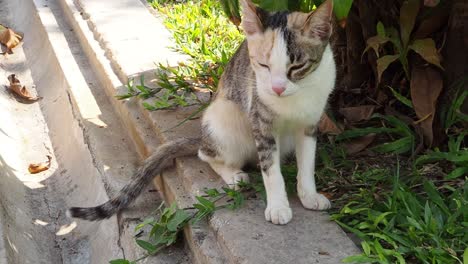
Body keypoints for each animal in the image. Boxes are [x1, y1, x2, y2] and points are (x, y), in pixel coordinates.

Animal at [67, 0, 334, 225]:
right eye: (263, 65)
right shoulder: (261, 122)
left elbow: (307, 164)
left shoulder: (310, 124)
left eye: (297, 66)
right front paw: (278, 206)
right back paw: (233, 174)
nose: (277, 88)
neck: (295, 98)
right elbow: (271, 171)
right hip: (225, 116)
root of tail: (203, 136)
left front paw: (308, 195)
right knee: (205, 154)